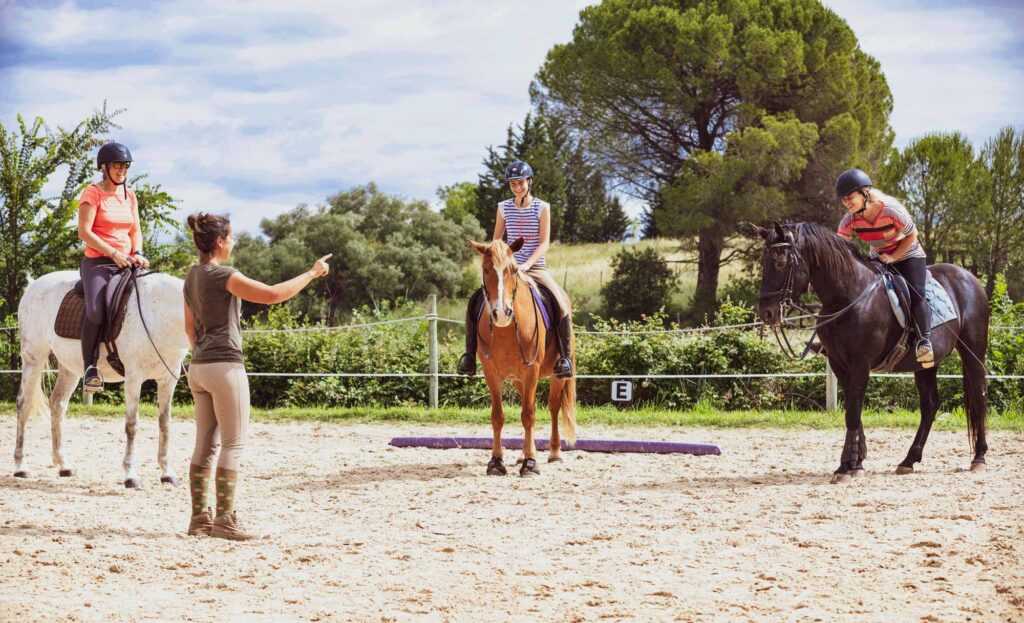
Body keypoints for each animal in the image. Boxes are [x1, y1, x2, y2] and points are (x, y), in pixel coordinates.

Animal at [14, 270, 189, 489]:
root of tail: (33, 285)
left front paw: (166, 473)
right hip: (33, 358)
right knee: (24, 405)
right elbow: (132, 424)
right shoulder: (134, 377)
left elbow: (164, 423)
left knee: (57, 405)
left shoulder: (167, 379)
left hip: (69, 368)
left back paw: (63, 466)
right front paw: (130, 475)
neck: (159, 315)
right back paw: (20, 467)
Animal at [468, 238, 577, 477]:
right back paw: (523, 453)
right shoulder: (492, 374)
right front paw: (496, 461)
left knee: (553, 406)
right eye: (486, 269)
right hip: (519, 380)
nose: (501, 314)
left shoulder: (531, 370)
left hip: (556, 374)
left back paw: (554, 452)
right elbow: (498, 416)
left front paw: (530, 463)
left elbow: (529, 415)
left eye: (513, 270)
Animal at [757, 221, 987, 483]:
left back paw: (979, 458)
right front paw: (855, 460)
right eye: (762, 262)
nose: (766, 312)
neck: (849, 295)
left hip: (974, 353)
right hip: (925, 365)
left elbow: (853, 413)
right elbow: (853, 412)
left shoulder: (861, 364)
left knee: (979, 397)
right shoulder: (839, 364)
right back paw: (909, 460)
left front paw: (848, 466)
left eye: (780, 262)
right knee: (929, 405)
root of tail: (970, 278)